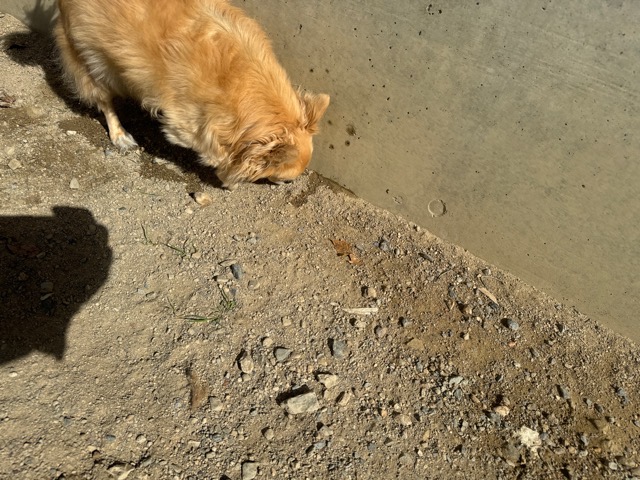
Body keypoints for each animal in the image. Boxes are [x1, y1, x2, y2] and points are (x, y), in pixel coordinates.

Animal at [54, 0, 330, 188]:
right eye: (285, 177)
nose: (288, 184)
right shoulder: (187, 123)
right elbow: (217, 153)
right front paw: (229, 175)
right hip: (90, 58)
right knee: (103, 100)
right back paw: (119, 135)